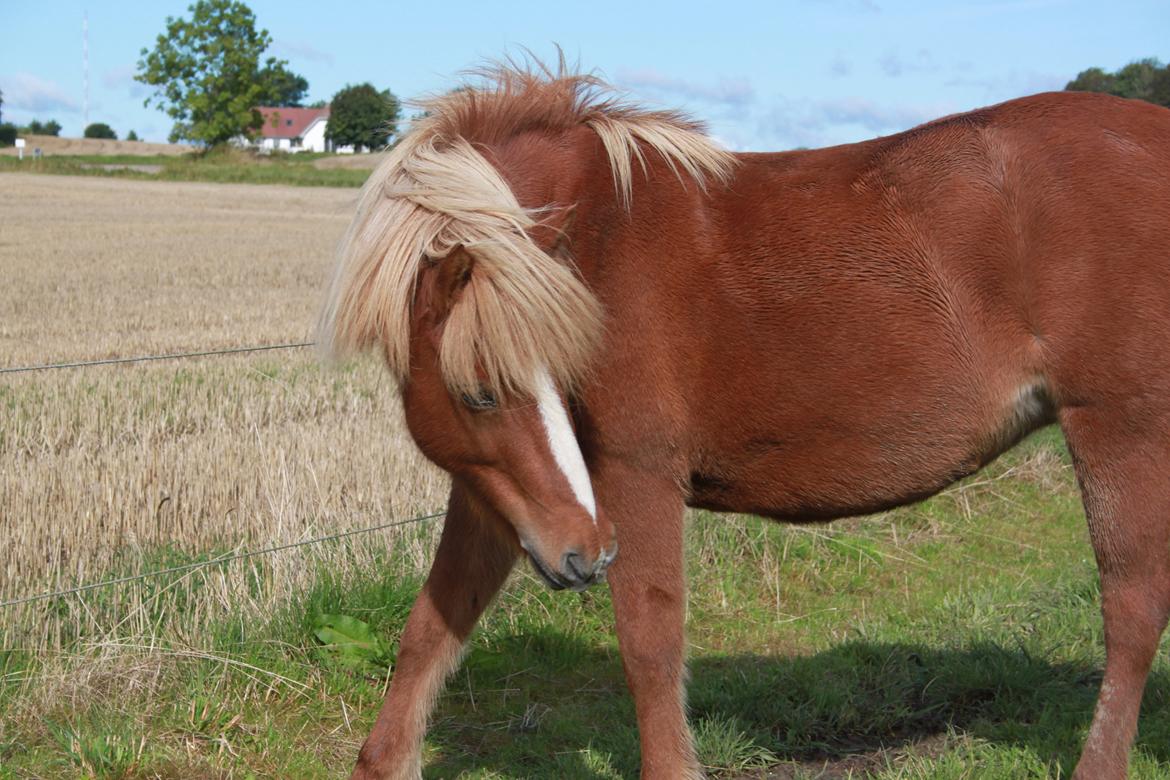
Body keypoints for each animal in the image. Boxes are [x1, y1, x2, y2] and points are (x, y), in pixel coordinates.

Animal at [318, 64, 1170, 776]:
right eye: (481, 396)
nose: (583, 555)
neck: (601, 230)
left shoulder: (633, 477)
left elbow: (650, 643)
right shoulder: (501, 494)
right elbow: (432, 628)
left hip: (1121, 431)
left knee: (1131, 612)